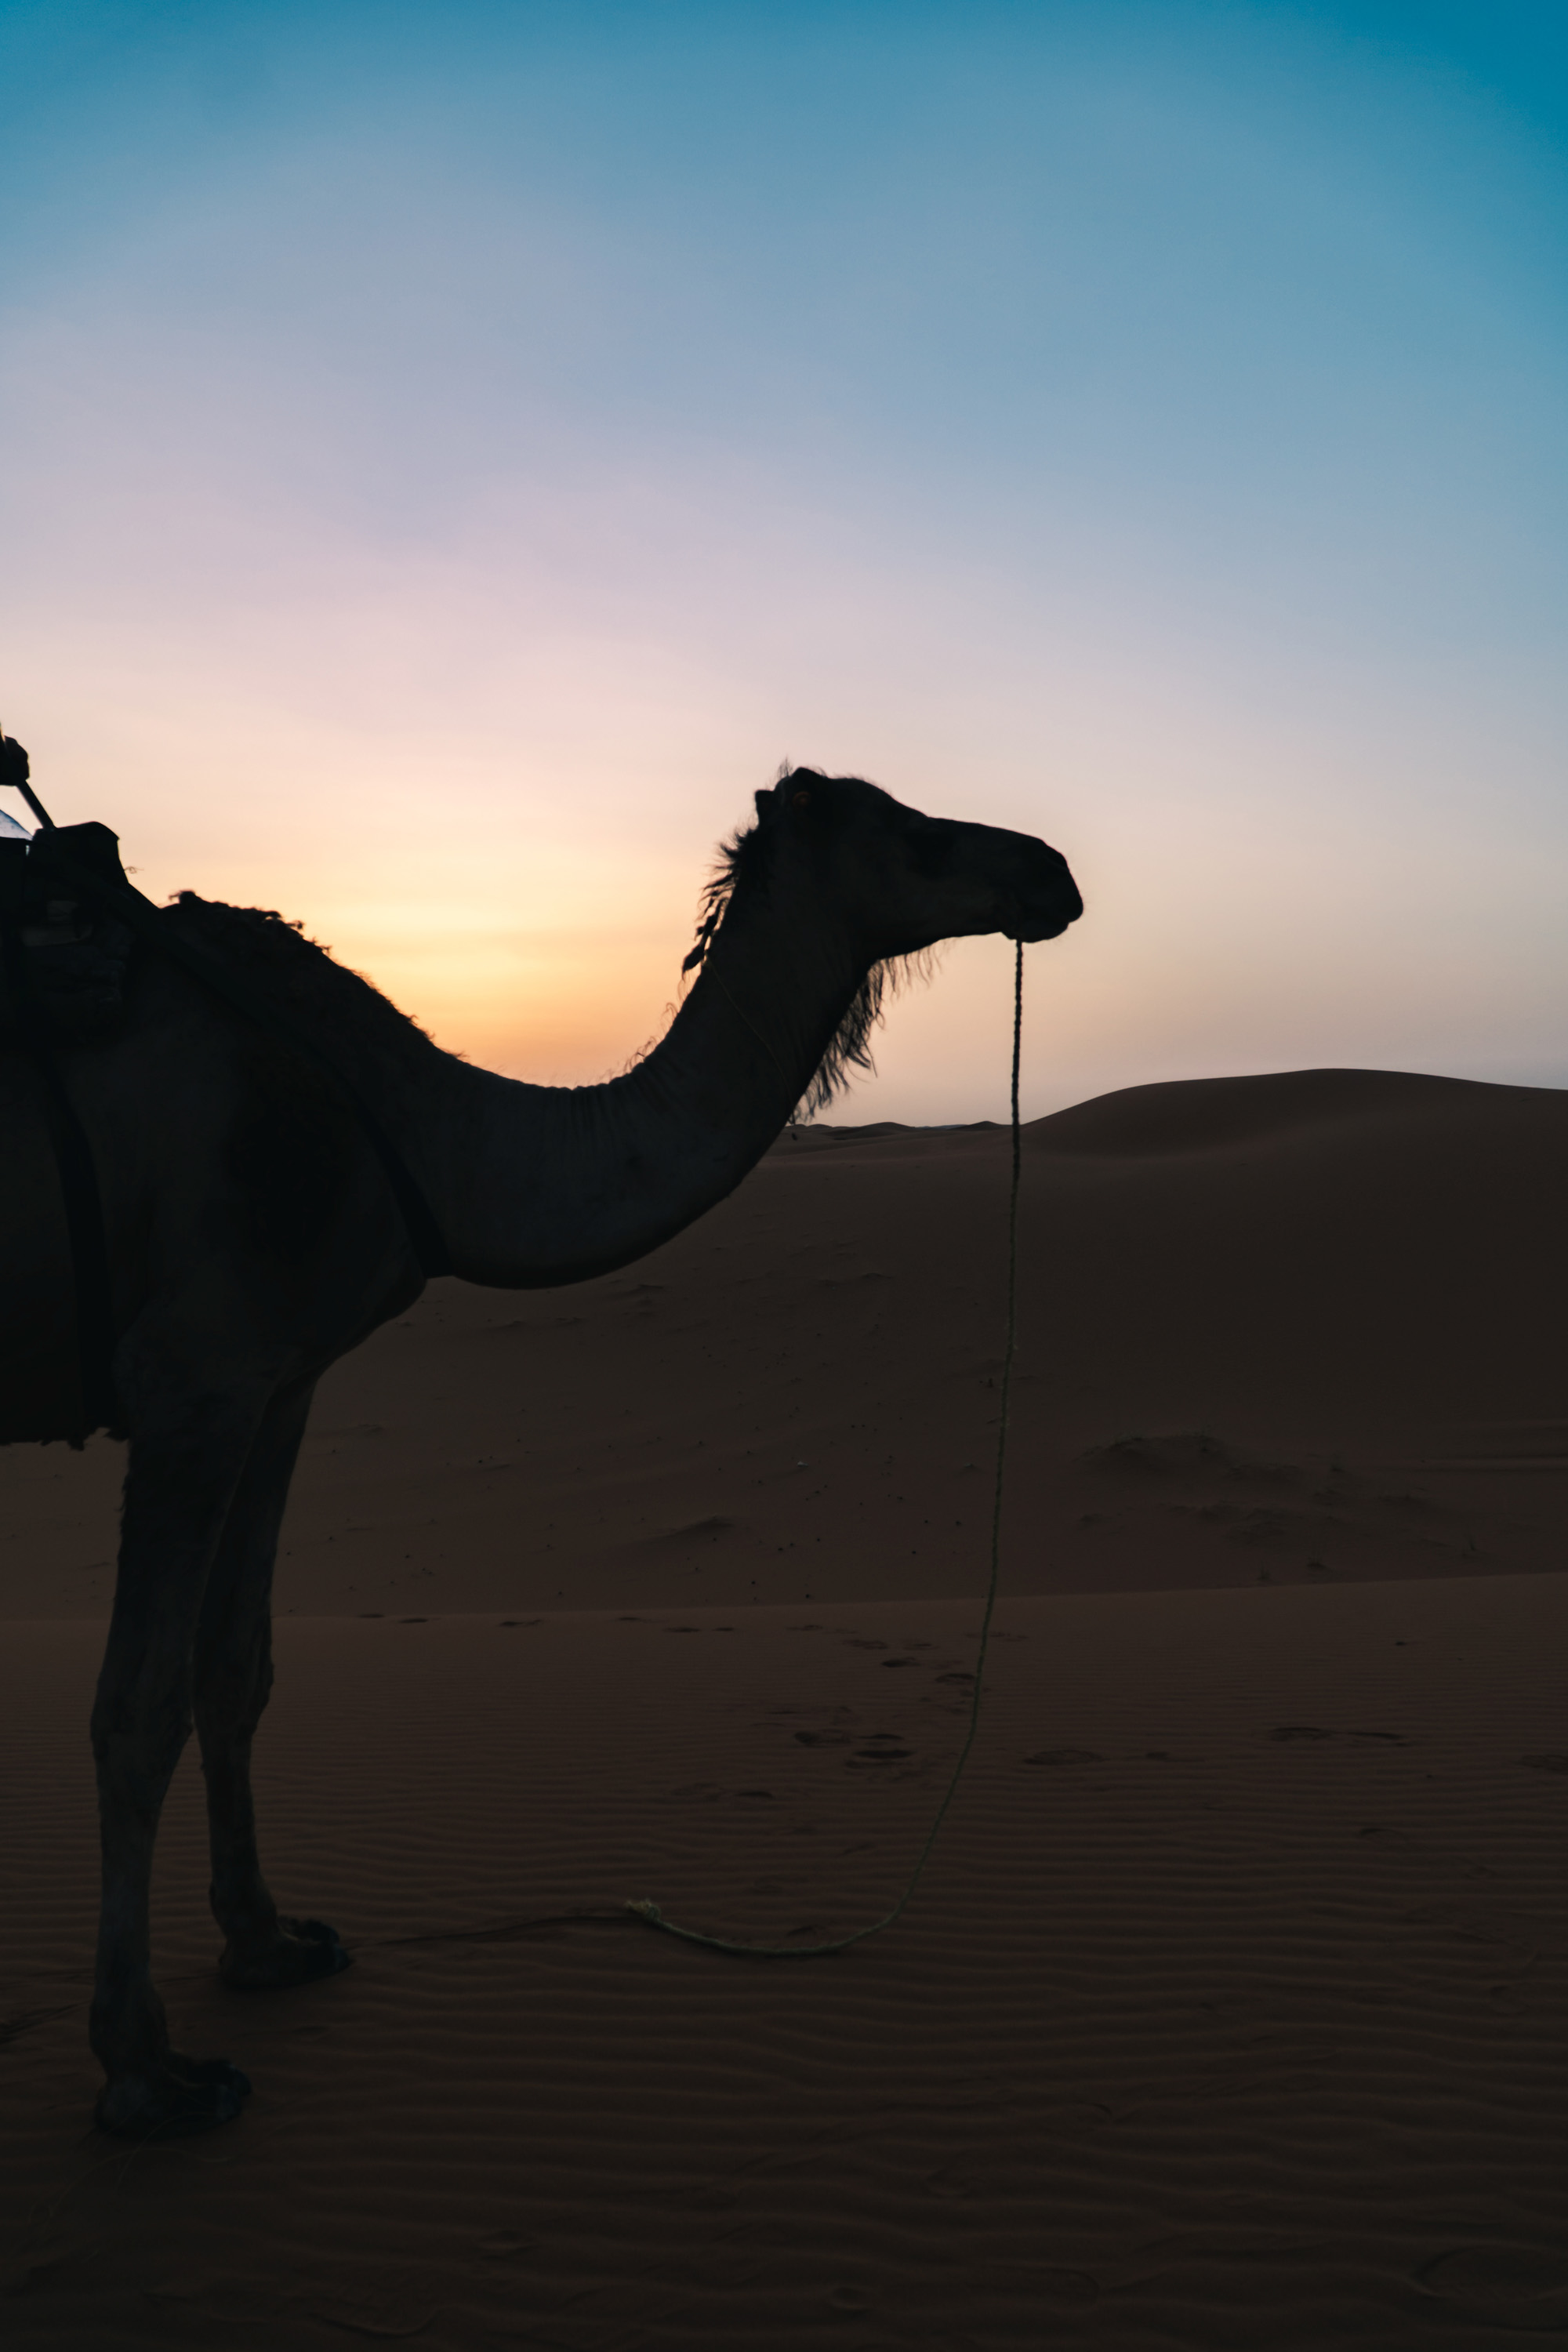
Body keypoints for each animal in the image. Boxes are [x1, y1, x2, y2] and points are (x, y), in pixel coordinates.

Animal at [0, 760, 1082, 2134]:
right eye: (916, 834)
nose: (1054, 871)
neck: (402, 1123)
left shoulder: (278, 1378)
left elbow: (232, 1669)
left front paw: (268, 1945)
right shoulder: (194, 1375)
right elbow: (134, 1711)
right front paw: (147, 2069)